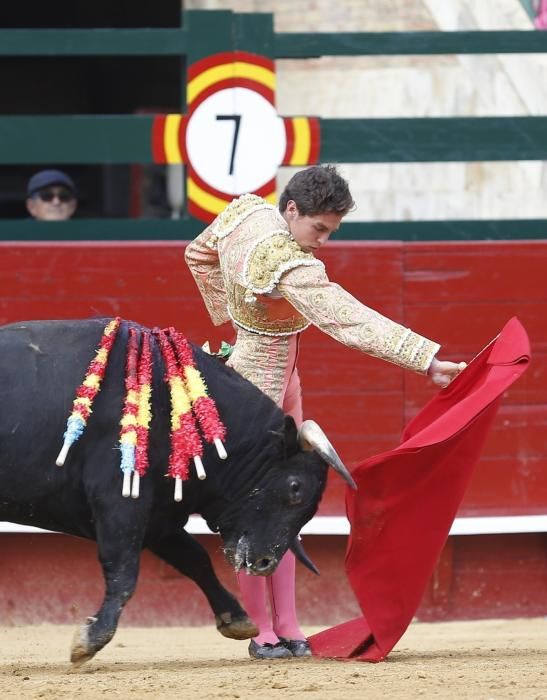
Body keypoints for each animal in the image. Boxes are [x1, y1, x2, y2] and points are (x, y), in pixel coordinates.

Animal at [0, 320, 352, 664]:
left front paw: (237, 619)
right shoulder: (119, 504)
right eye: (295, 488)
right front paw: (90, 639)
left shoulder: (160, 517)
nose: (266, 562)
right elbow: (124, 572)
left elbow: (195, 559)